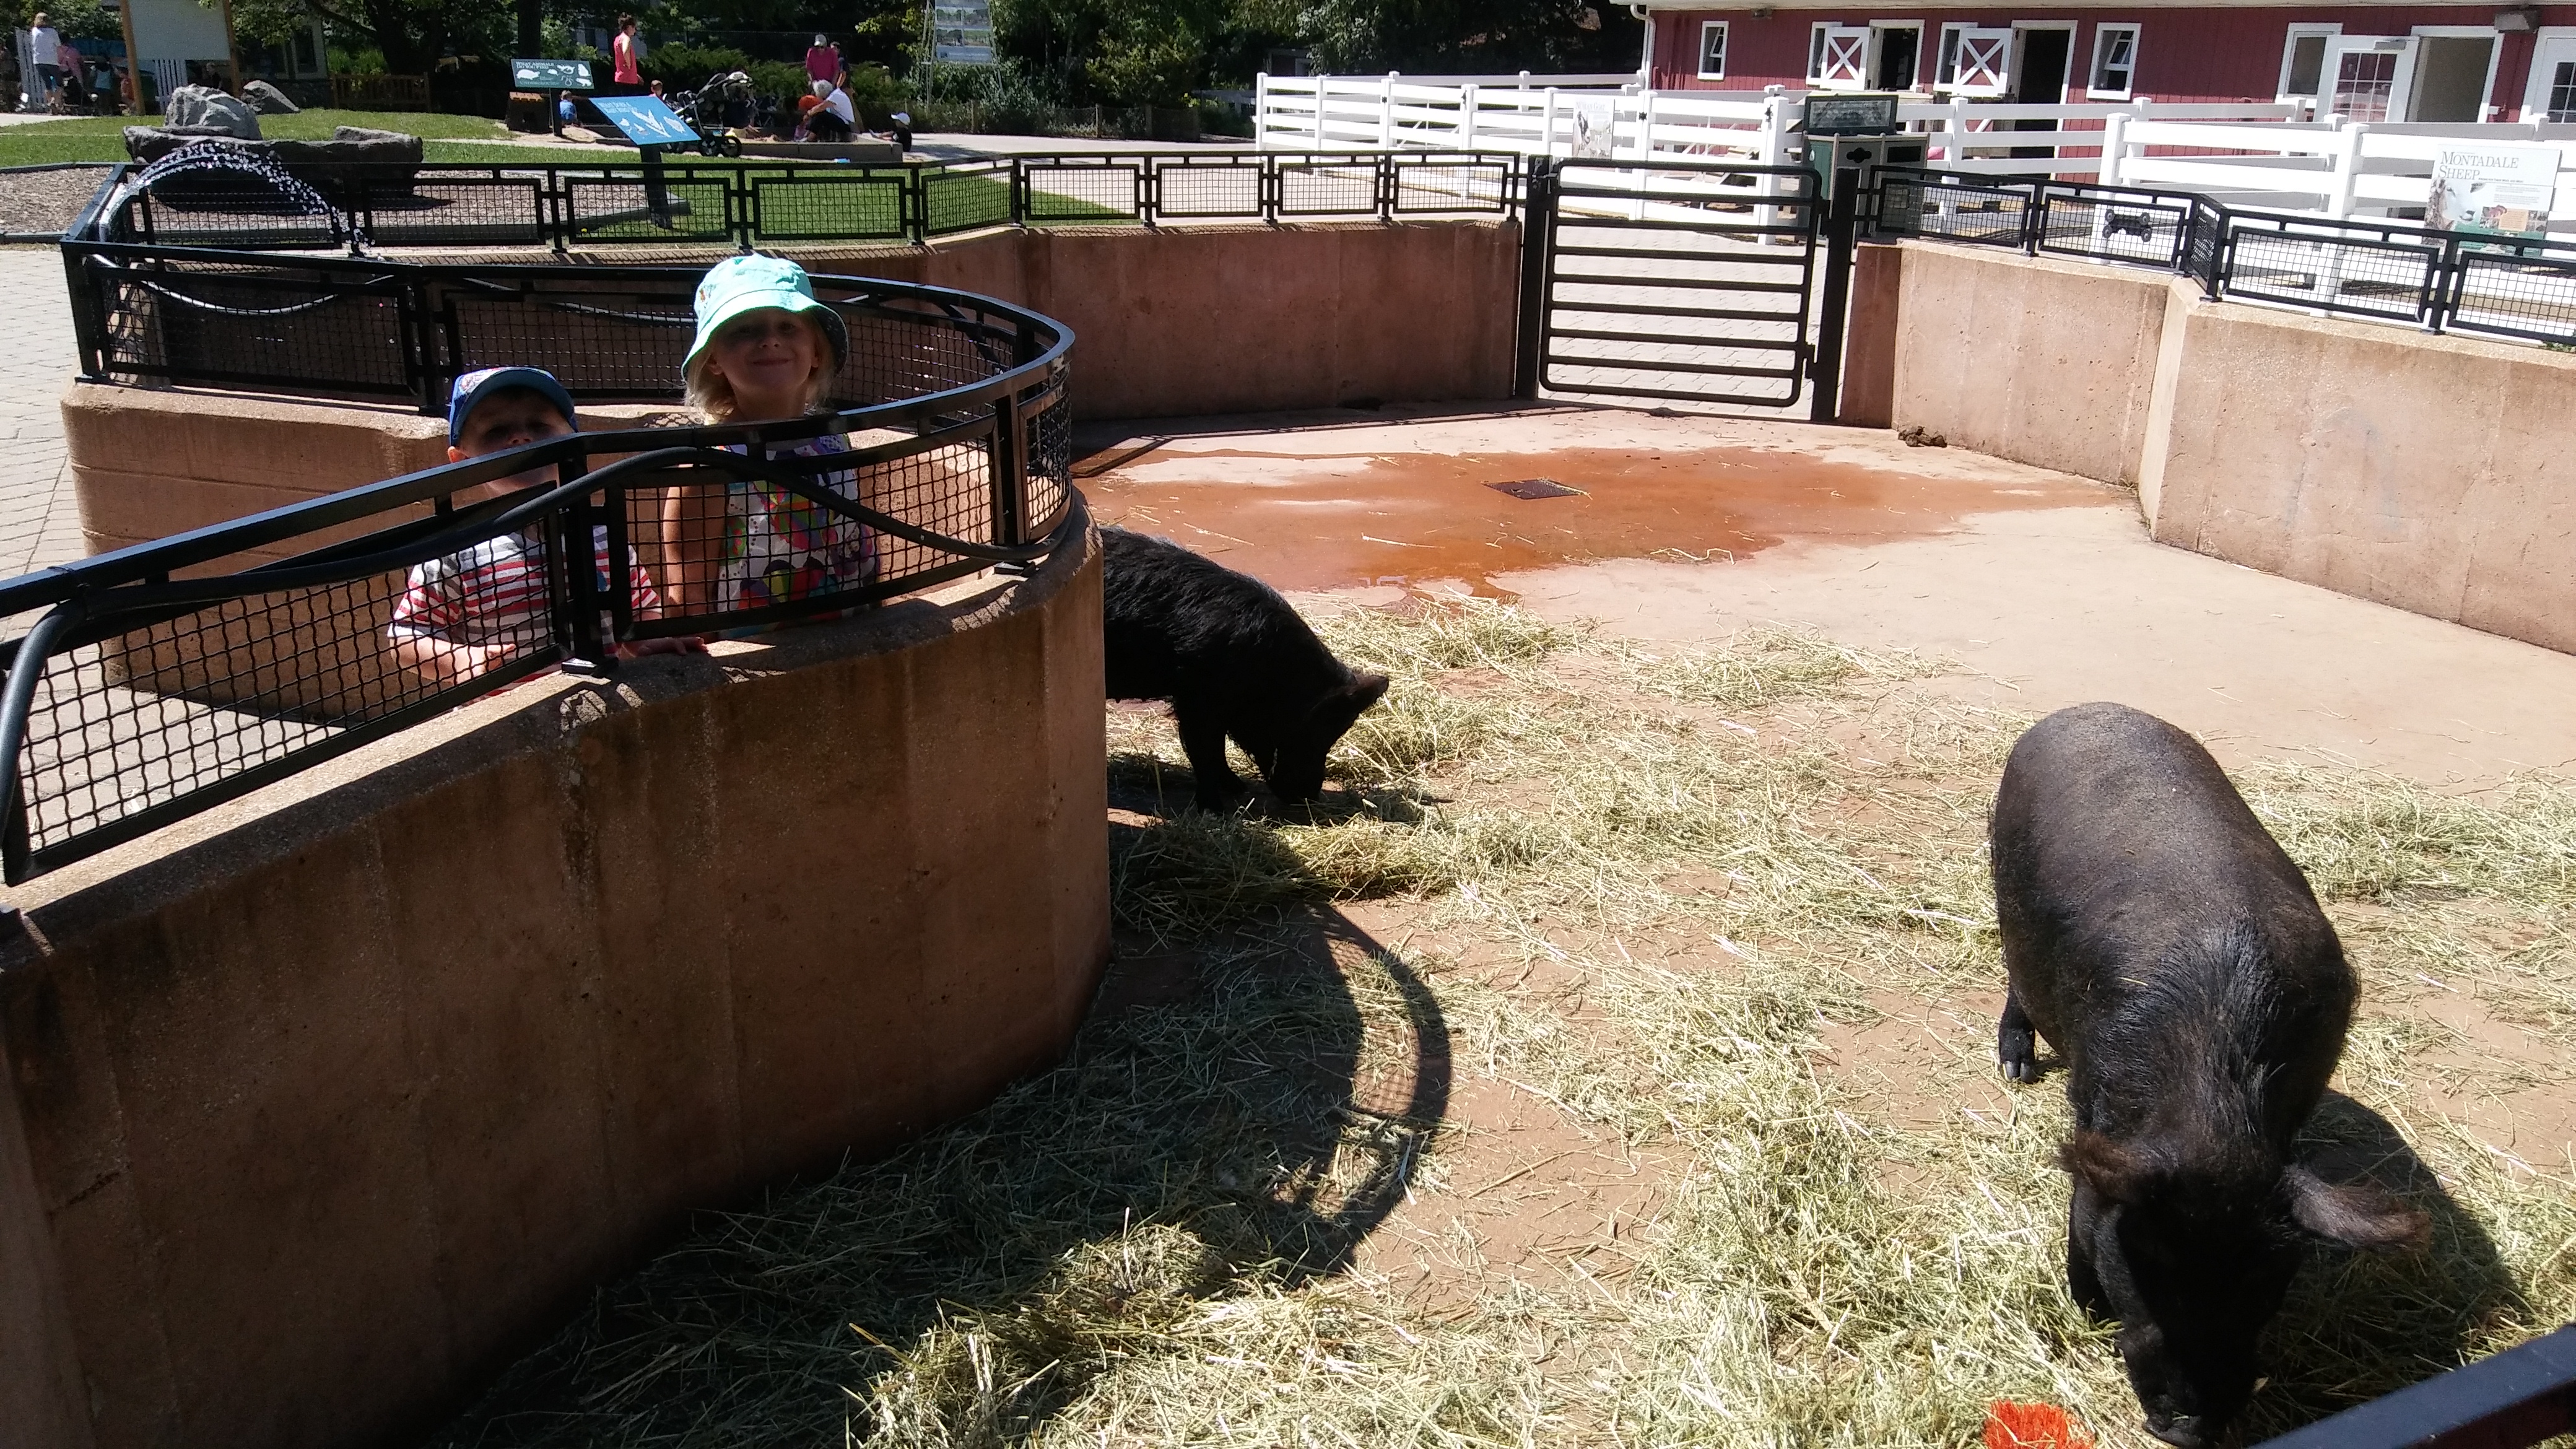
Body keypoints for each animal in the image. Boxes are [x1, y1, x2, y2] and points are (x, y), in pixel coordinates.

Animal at [1100, 526, 1389, 811]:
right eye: (1314, 731)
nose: (1310, 796)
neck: (1266, 669)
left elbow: (1216, 749)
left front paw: (1238, 788)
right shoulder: (1197, 699)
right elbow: (1203, 749)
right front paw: (1214, 809)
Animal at [1990, 702, 2428, 1449]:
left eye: (2262, 1279)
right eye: (2151, 1267)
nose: (2192, 1428)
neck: (2211, 1109)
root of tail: (2083, 708)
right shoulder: (2098, 1117)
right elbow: (2081, 1210)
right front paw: (2085, 1308)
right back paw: (2015, 1067)